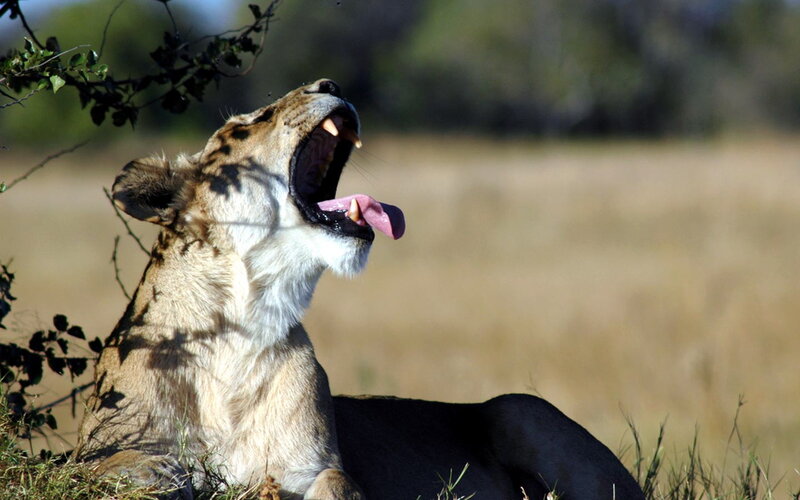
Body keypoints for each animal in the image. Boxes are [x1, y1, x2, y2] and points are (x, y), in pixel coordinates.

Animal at [75, 79, 645, 500]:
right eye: (247, 124)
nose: (330, 83)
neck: (244, 318)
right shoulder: (100, 454)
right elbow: (129, 468)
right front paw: (171, 476)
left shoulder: (314, 468)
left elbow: (335, 484)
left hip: (519, 406)